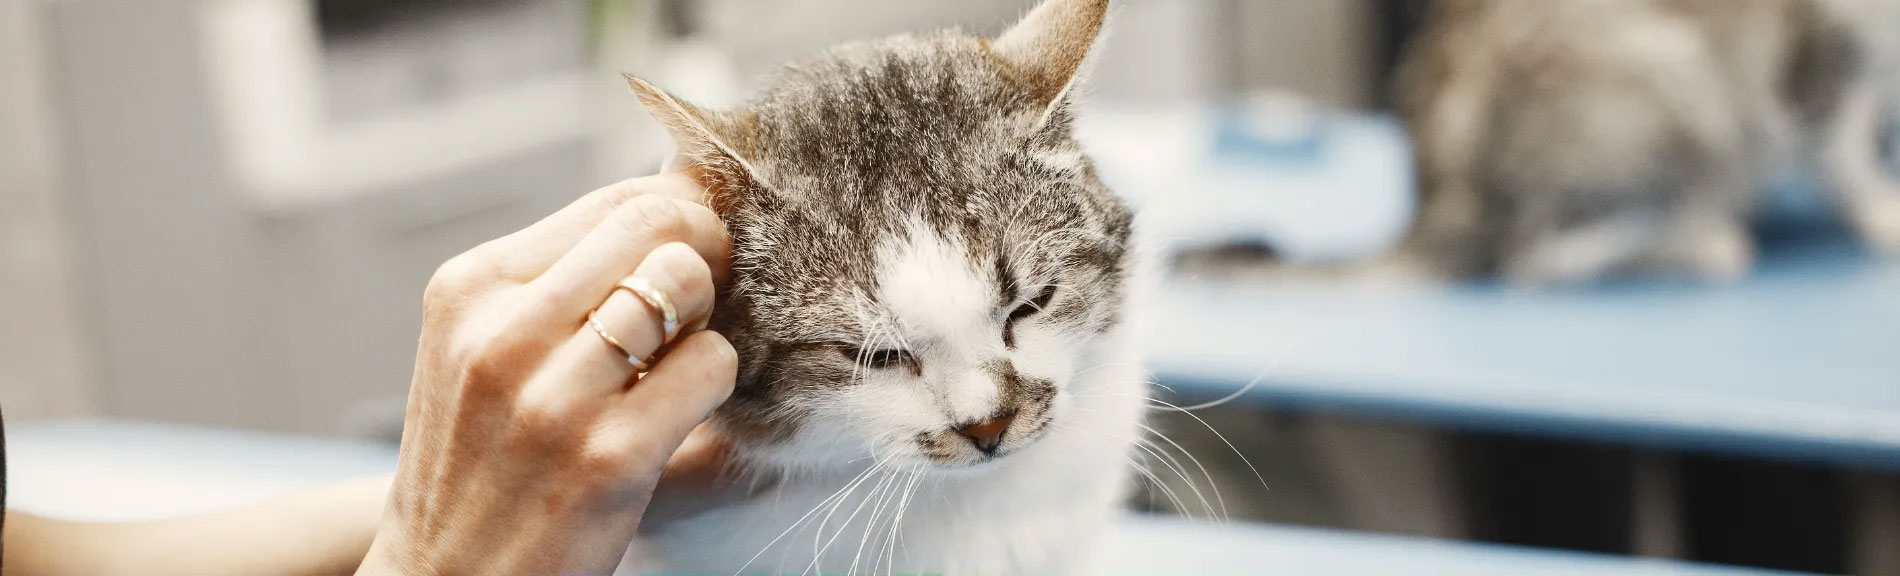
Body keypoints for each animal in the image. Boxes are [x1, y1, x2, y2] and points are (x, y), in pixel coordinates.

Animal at [1398, 0, 1900, 285]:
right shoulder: (1817, 57)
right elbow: (1845, 154)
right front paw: (1884, 211)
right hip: (1674, 75)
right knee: (1536, 260)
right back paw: (1709, 241)